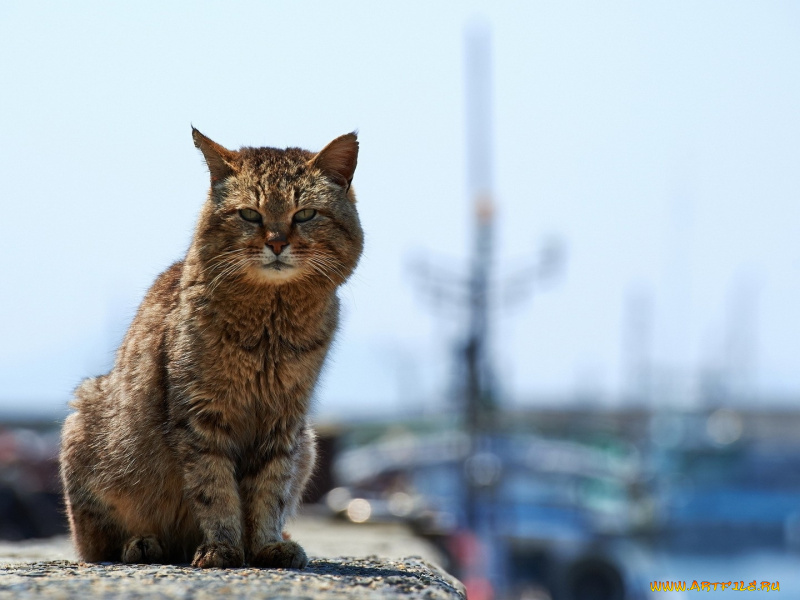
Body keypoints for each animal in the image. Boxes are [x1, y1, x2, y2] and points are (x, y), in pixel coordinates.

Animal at [57, 129, 364, 568]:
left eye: (305, 214)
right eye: (250, 215)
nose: (276, 243)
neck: (269, 326)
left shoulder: (284, 421)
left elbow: (270, 490)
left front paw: (265, 545)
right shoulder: (201, 416)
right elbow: (214, 489)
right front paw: (223, 547)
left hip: (308, 443)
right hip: (87, 429)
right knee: (98, 544)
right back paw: (143, 543)